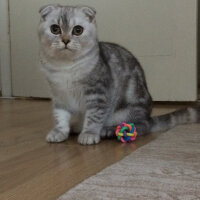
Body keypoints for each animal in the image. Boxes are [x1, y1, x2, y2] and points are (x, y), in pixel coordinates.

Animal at [38, 4, 200, 145]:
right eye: (55, 29)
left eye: (78, 30)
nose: (65, 40)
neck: (65, 67)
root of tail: (148, 117)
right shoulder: (59, 96)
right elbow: (60, 116)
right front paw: (59, 131)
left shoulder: (98, 94)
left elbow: (94, 116)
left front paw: (89, 133)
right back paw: (77, 127)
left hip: (128, 110)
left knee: (141, 126)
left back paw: (108, 130)